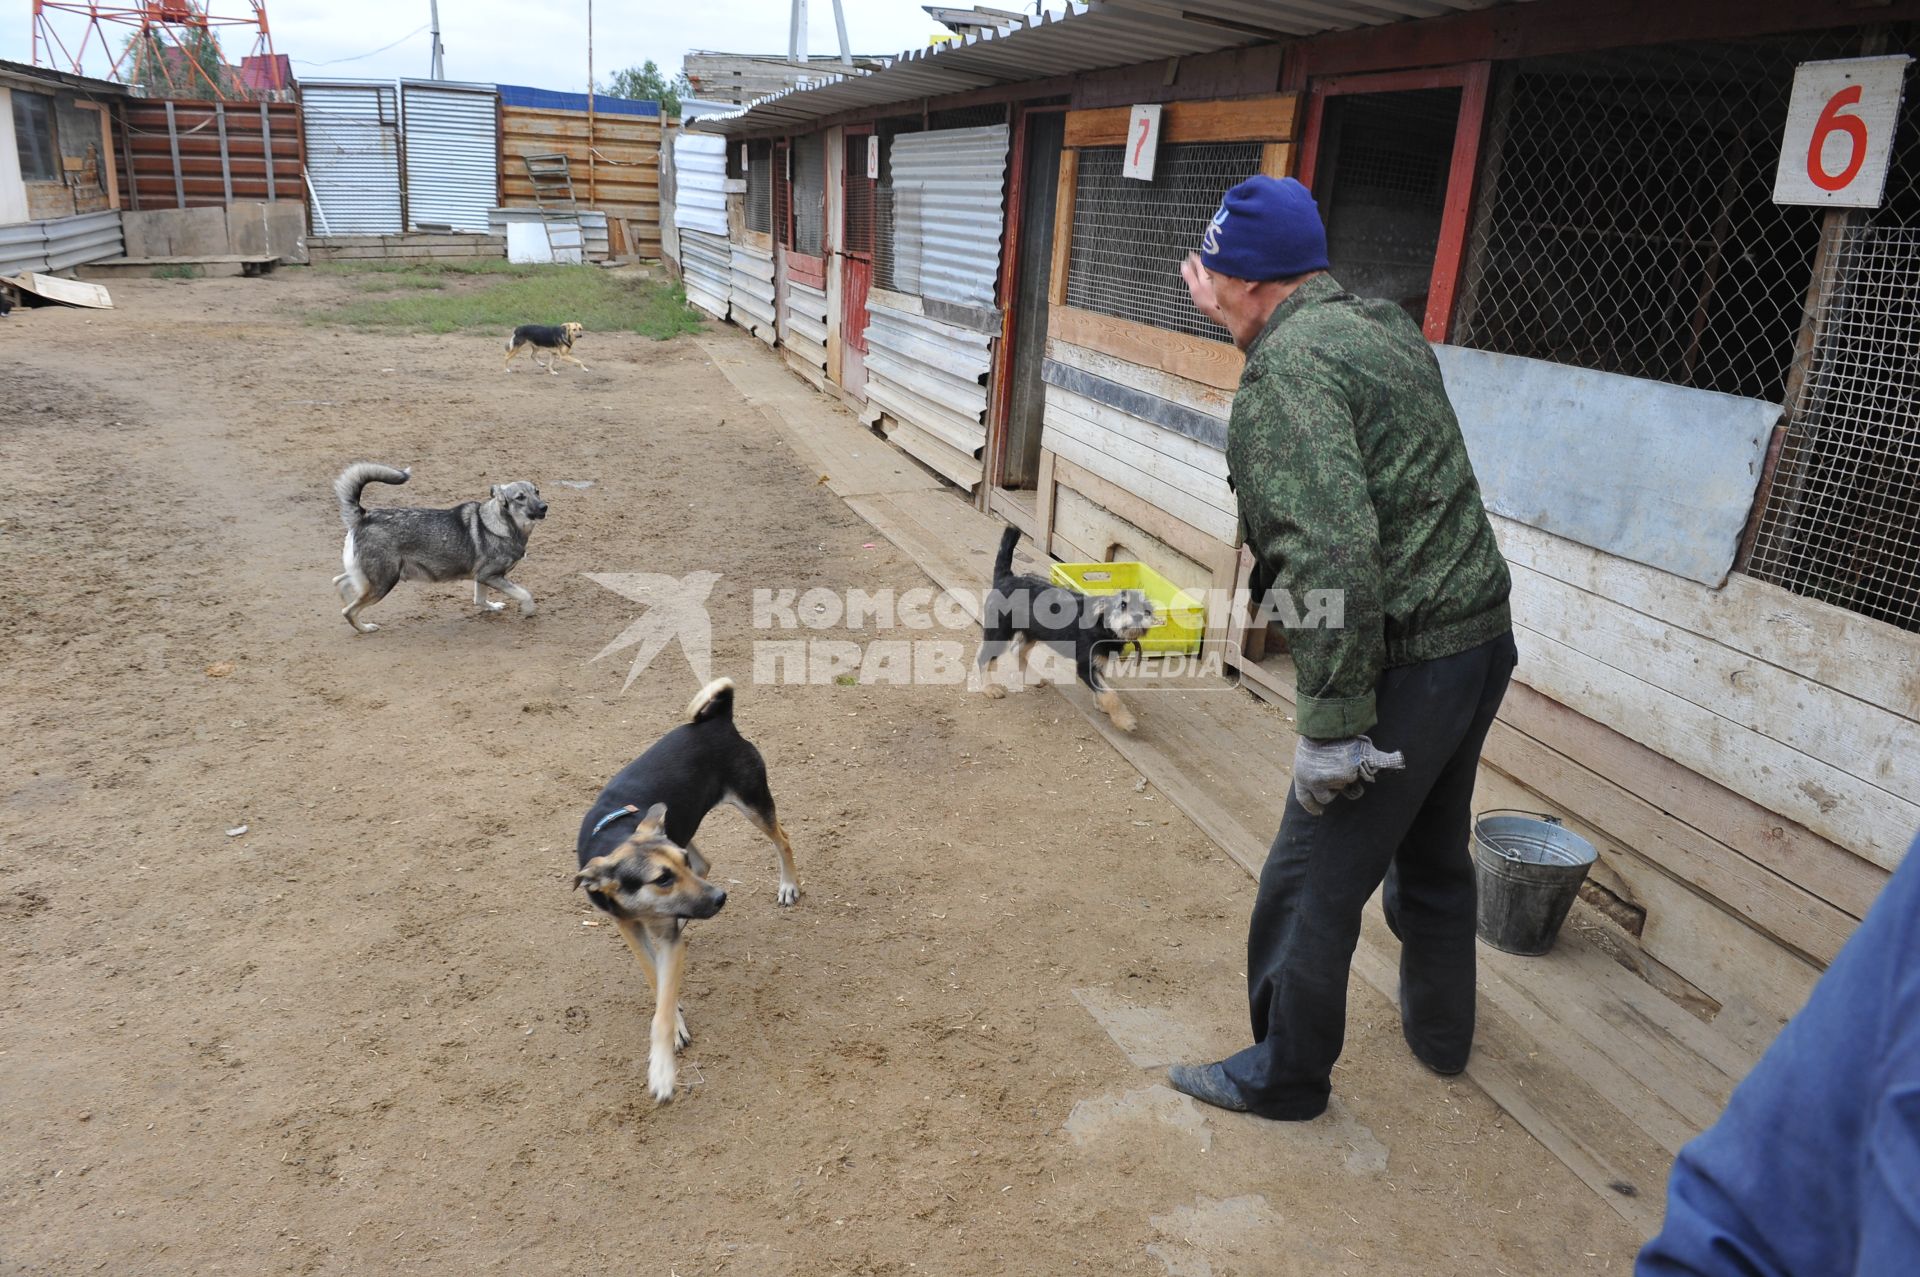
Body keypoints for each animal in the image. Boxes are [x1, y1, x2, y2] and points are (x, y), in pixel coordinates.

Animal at [330, 462, 549, 633]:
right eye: (520, 497)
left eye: (537, 491)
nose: (544, 507)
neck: (502, 524)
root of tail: (363, 517)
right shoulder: (490, 576)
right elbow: (524, 593)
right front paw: (529, 610)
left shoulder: (482, 577)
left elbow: (480, 600)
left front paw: (493, 607)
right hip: (384, 582)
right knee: (349, 610)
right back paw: (365, 628)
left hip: (370, 576)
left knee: (340, 582)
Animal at [576, 675, 802, 1106]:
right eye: (662, 878)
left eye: (672, 871)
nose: (719, 898)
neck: (615, 838)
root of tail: (718, 720)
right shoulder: (627, 926)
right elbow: (655, 978)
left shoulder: (667, 936)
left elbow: (663, 1005)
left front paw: (664, 1066)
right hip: (684, 823)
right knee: (707, 863)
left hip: (752, 802)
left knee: (782, 839)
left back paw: (788, 885)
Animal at [975, 522, 1152, 733]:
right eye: (1123, 605)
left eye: (1147, 610)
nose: (1139, 616)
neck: (1104, 627)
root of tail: (1006, 578)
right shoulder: (1086, 666)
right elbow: (1110, 694)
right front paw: (1124, 720)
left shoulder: (1098, 663)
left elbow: (1103, 688)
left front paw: (1101, 705)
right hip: (999, 634)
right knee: (984, 658)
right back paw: (989, 689)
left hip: (1032, 633)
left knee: (1018, 650)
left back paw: (1030, 678)